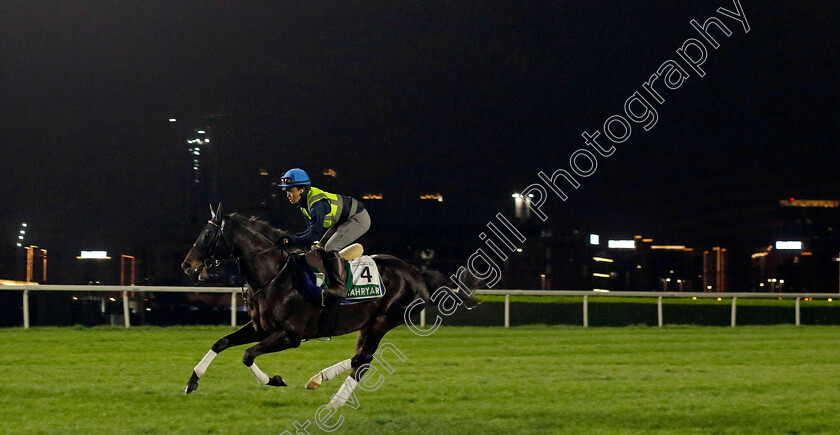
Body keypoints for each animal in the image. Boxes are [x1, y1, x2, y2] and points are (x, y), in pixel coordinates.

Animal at [180, 206, 476, 408]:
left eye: (208, 234)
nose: (187, 265)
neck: (274, 275)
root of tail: (418, 274)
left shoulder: (290, 336)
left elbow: (247, 355)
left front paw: (274, 380)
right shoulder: (259, 327)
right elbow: (221, 343)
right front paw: (192, 380)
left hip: (384, 321)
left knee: (362, 361)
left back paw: (335, 401)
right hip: (368, 324)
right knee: (361, 357)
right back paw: (318, 378)